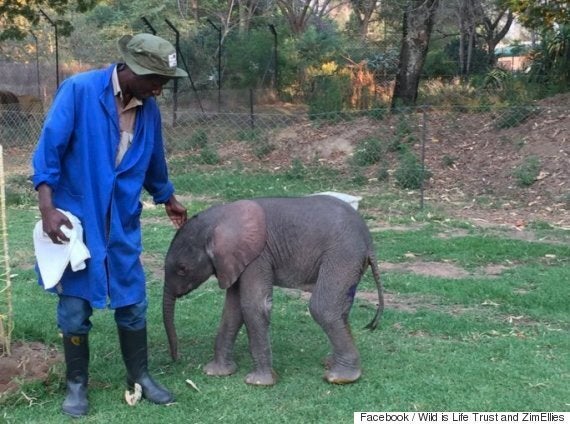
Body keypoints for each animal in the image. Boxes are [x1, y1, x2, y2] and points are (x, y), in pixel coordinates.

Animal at [162, 197, 382, 386]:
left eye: (182, 269)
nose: (176, 359)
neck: (222, 218)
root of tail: (369, 241)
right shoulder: (233, 260)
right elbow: (233, 310)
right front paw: (216, 373)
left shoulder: (258, 256)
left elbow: (254, 306)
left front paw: (259, 383)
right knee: (340, 309)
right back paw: (331, 364)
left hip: (343, 255)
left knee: (323, 308)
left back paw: (340, 377)